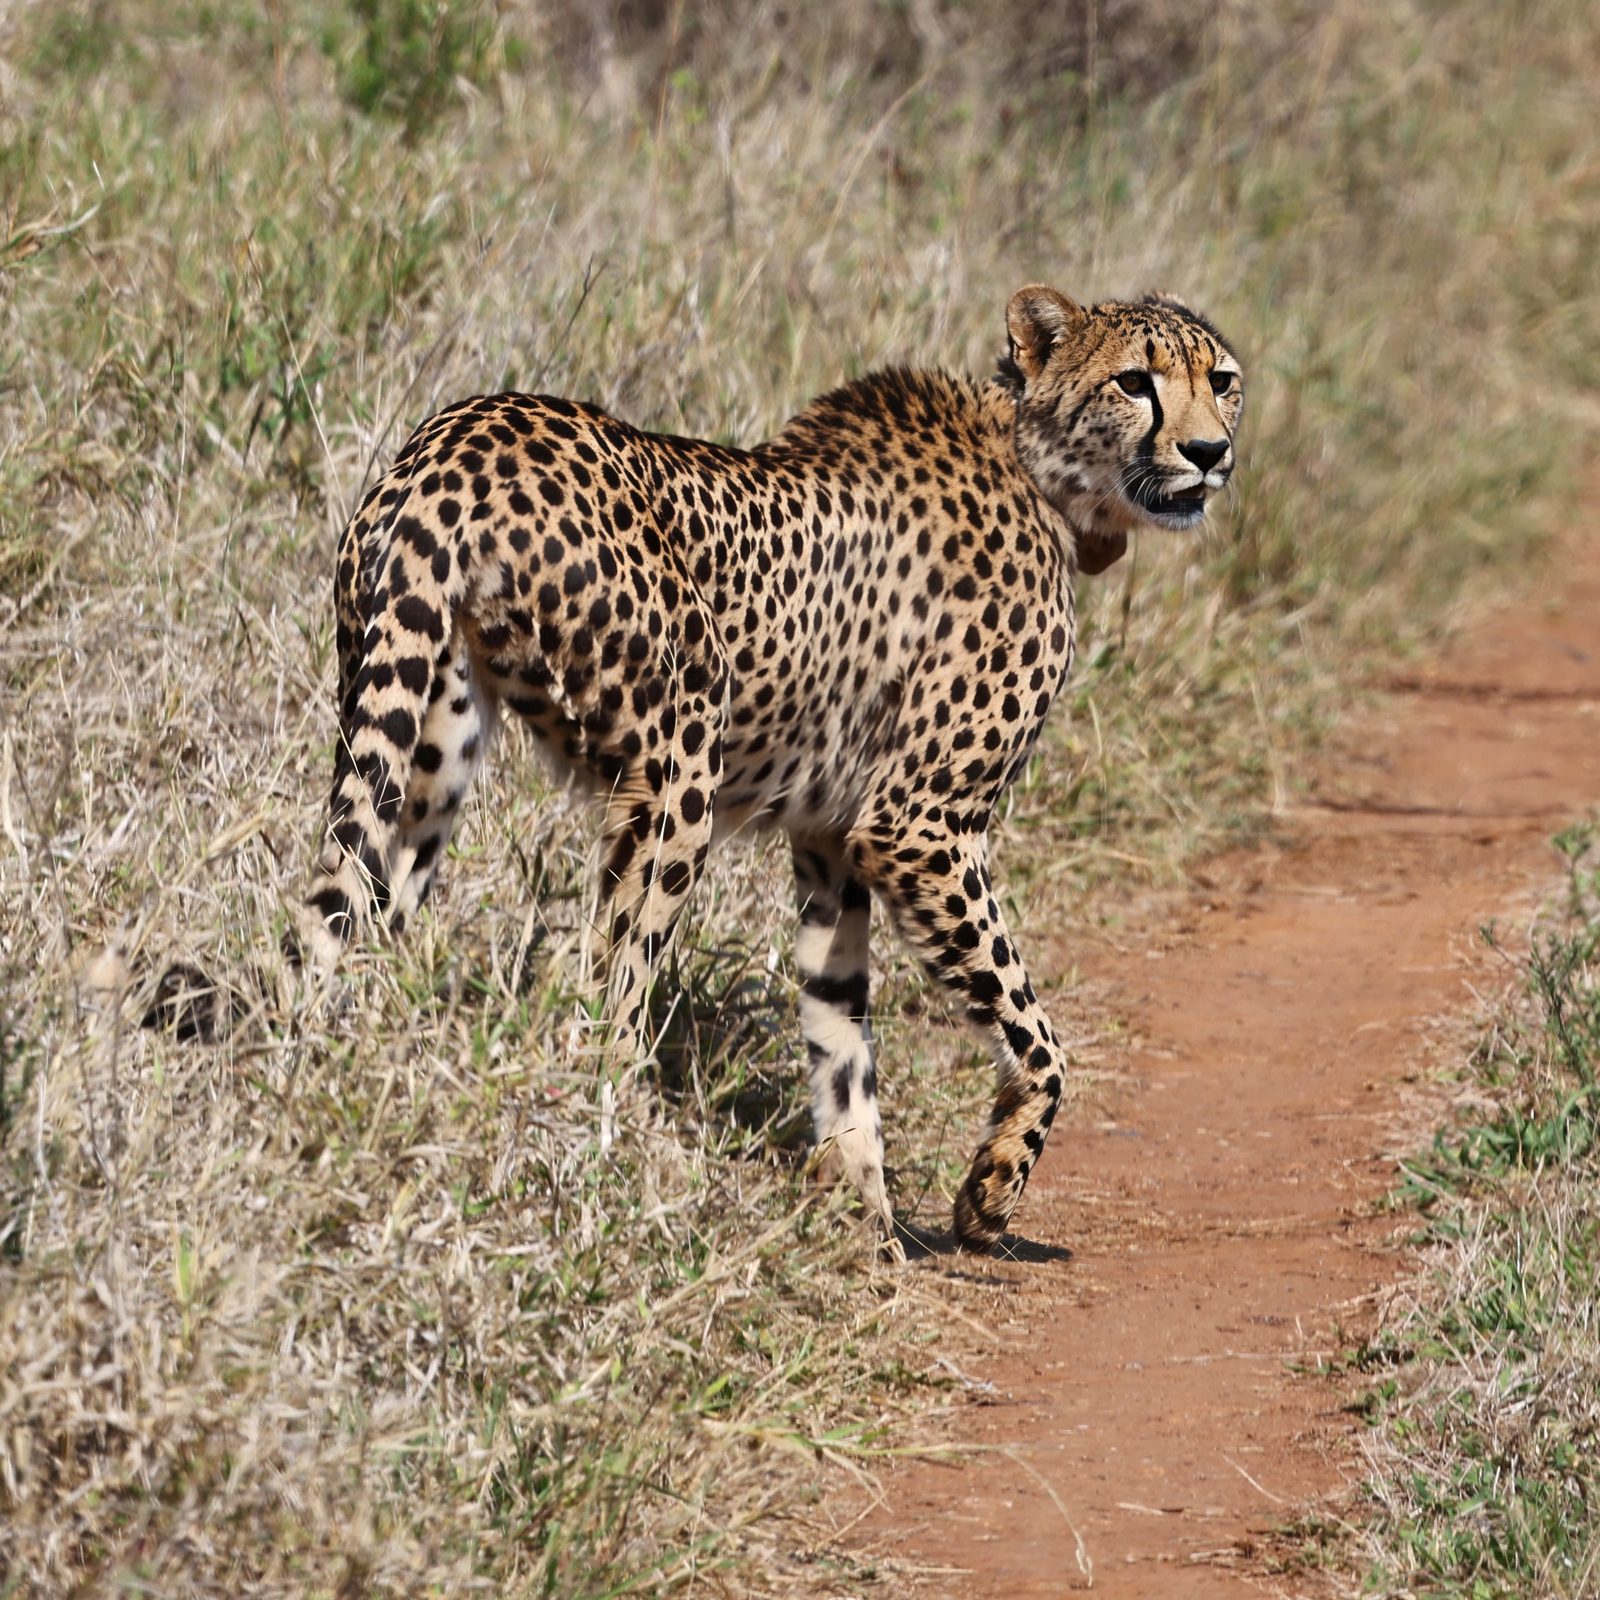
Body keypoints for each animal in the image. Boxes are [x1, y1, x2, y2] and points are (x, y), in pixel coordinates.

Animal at [305, 284, 1244, 1251]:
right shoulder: (919, 825)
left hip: (425, 745)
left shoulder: (834, 838)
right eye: (1134, 382)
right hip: (680, 753)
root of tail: (465, 430)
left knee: (356, 914)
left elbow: (841, 1031)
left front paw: (865, 1219)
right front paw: (988, 1192)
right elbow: (1037, 1033)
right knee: (604, 988)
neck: (1039, 467)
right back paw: (627, 1161)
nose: (1211, 453)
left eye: (1222, 381)